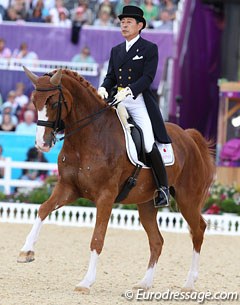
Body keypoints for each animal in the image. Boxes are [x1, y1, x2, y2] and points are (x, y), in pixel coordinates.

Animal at [17, 67, 215, 292]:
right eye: (34, 102)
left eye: (54, 103)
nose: (41, 144)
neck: (87, 137)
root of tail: (189, 136)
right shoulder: (68, 188)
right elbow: (43, 209)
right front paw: (26, 251)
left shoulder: (106, 196)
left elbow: (97, 238)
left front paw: (86, 282)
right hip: (147, 203)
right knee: (157, 241)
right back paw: (144, 283)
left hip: (187, 199)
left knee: (198, 231)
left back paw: (189, 283)